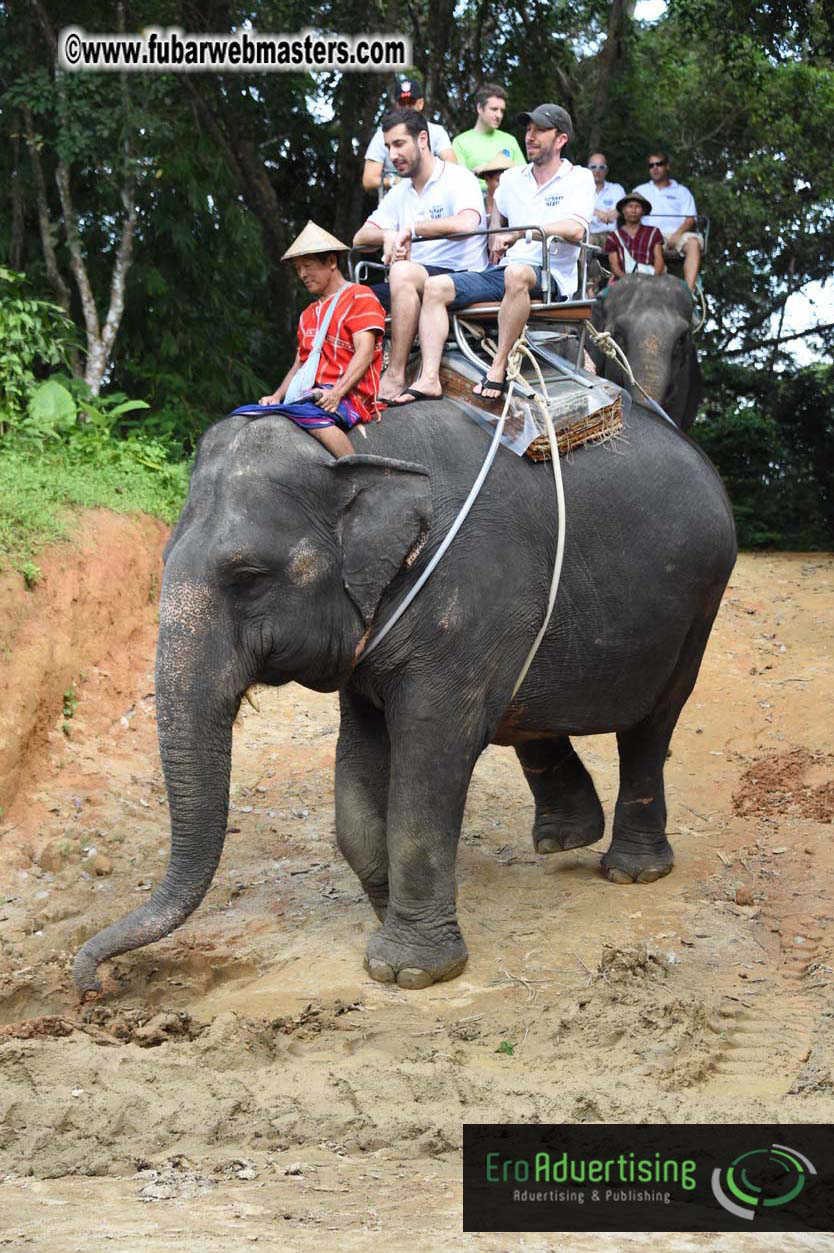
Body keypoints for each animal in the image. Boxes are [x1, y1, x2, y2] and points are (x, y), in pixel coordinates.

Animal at [73, 396, 736, 994]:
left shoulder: (472, 598)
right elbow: (359, 765)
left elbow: (430, 754)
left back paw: (631, 872)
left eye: (248, 578)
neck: (352, 448)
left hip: (700, 604)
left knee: (652, 725)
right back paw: (562, 840)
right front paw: (388, 908)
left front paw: (409, 971)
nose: (93, 984)